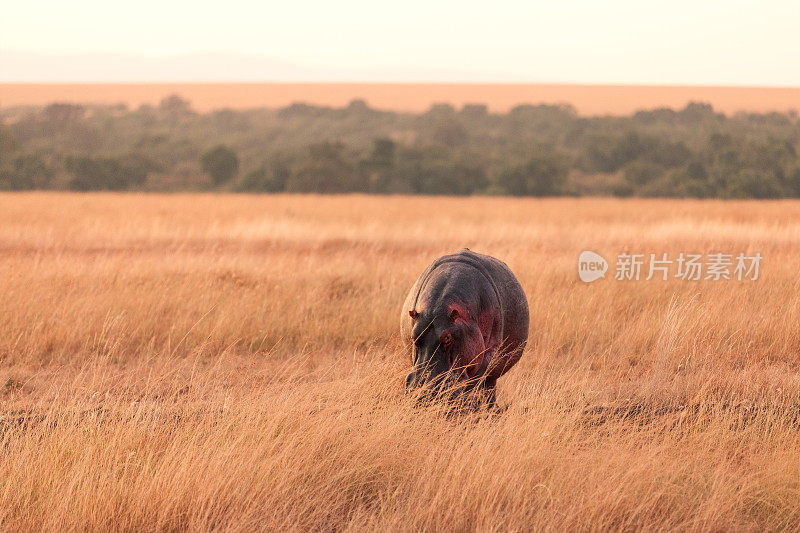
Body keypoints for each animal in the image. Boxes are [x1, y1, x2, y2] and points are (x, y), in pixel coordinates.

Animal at [400, 249, 532, 404]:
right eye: (413, 337)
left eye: (448, 338)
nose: (423, 392)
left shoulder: (487, 354)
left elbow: (473, 385)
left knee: (488, 388)